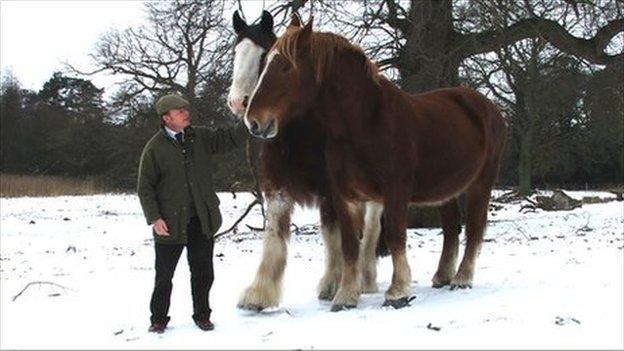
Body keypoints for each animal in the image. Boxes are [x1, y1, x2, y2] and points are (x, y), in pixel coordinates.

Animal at [229, 11, 386, 314]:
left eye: (263, 55)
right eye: (236, 52)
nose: (238, 104)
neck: (298, 133)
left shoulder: (330, 191)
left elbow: (333, 235)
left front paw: (333, 283)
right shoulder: (276, 189)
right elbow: (274, 236)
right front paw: (258, 293)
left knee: (371, 232)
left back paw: (367, 277)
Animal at [244, 19, 508, 310]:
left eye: (287, 66)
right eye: (266, 63)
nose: (254, 121)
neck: (366, 123)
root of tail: (489, 108)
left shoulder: (395, 192)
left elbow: (395, 237)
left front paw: (397, 291)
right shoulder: (343, 195)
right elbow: (349, 244)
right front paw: (346, 295)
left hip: (481, 184)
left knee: (474, 228)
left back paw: (462, 278)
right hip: (445, 192)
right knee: (451, 229)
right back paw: (442, 276)